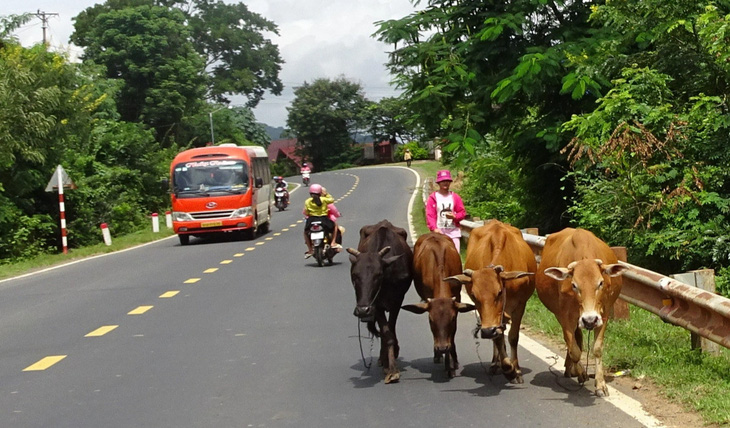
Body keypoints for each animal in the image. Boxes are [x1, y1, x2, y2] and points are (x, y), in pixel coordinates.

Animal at [346, 221, 412, 384]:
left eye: (378, 274)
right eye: (355, 275)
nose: (362, 310)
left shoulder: (397, 301)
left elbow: (391, 331)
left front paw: (393, 366)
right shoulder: (375, 305)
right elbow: (386, 333)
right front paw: (390, 367)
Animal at [400, 234, 474, 378]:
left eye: (452, 319)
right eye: (431, 320)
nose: (442, 348)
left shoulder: (457, 298)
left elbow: (452, 335)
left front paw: (452, 364)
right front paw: (444, 360)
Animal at [444, 221, 536, 384]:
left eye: (499, 292)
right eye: (474, 296)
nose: (487, 331)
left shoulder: (520, 306)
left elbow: (513, 337)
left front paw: (517, 371)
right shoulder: (488, 316)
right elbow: (498, 338)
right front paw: (508, 368)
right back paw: (495, 364)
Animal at [532, 227, 628, 398]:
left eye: (600, 283)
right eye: (574, 285)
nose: (589, 320)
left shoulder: (603, 314)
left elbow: (596, 348)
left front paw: (600, 384)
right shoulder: (565, 316)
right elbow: (574, 350)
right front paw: (580, 372)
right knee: (573, 342)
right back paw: (572, 369)